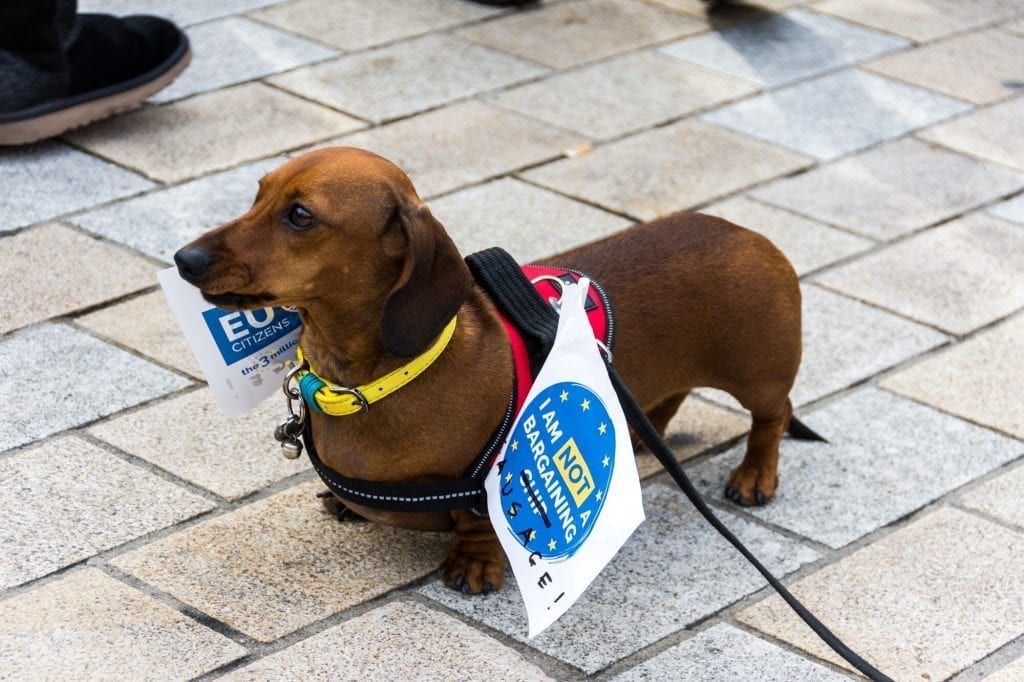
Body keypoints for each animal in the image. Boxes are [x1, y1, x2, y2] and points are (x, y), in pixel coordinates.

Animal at [172, 146, 802, 593]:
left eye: (301, 216)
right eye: (257, 195)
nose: (184, 259)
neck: (372, 382)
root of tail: (752, 235)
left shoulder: (489, 481)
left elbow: (480, 525)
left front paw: (475, 565)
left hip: (759, 376)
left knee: (774, 416)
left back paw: (755, 476)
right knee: (671, 395)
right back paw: (642, 436)